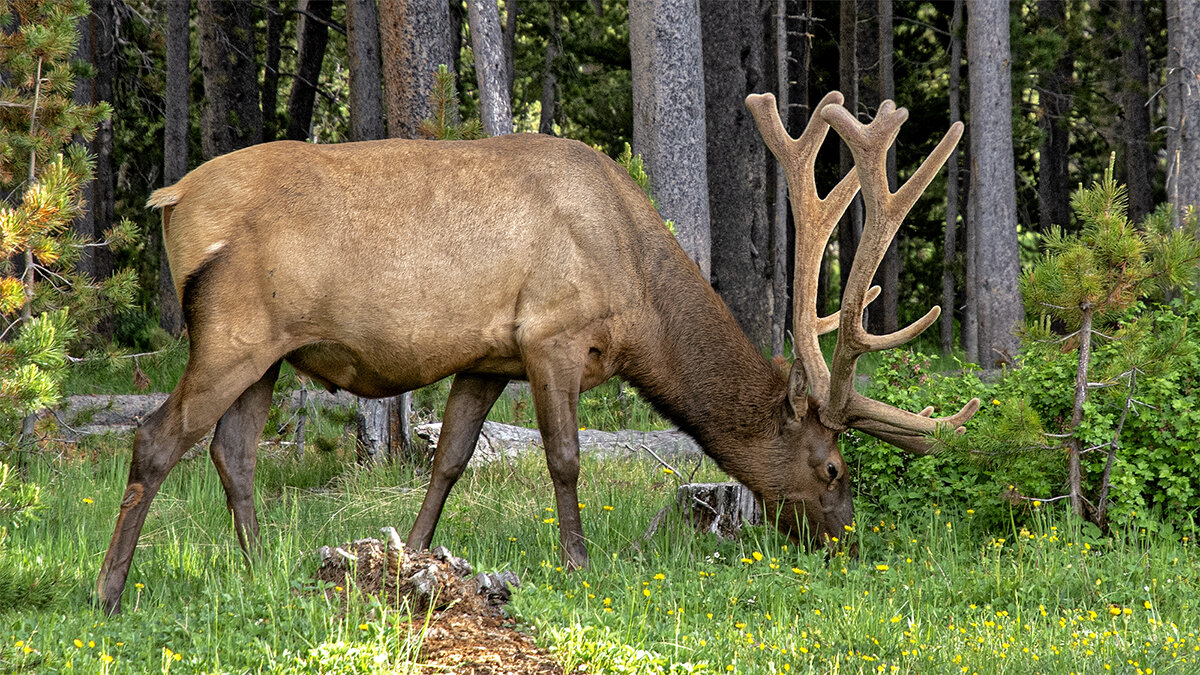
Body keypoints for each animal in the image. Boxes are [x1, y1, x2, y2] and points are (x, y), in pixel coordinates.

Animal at [93, 91, 974, 612]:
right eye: (832, 467)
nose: (847, 541)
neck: (637, 291)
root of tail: (173, 198)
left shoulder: (488, 357)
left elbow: (448, 459)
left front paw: (415, 562)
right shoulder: (552, 333)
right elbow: (564, 456)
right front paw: (578, 562)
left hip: (268, 352)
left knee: (233, 451)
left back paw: (258, 570)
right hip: (233, 329)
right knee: (156, 437)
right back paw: (108, 589)